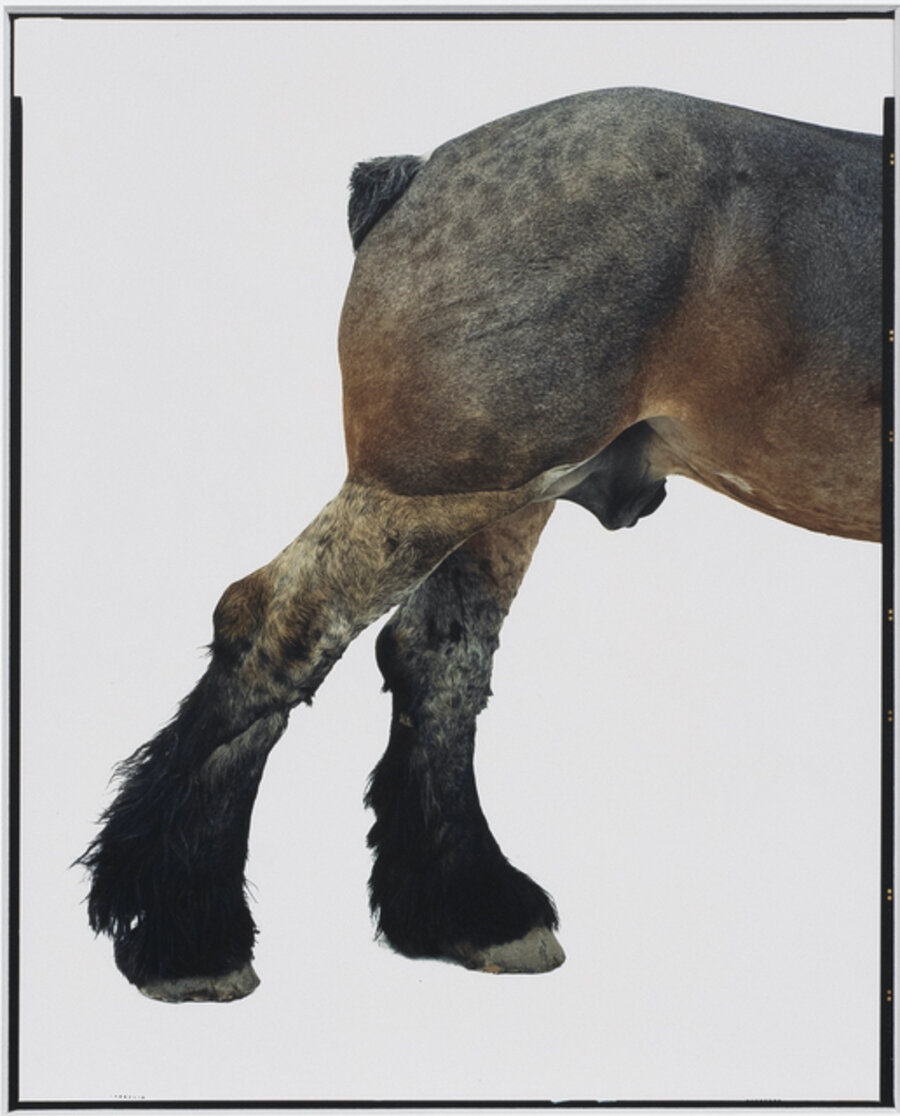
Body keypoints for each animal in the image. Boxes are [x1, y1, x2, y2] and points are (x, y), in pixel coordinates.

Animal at [79, 87, 883, 1003]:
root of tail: (419, 173)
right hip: (438, 493)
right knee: (274, 629)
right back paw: (189, 938)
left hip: (496, 505)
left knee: (437, 665)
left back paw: (466, 912)